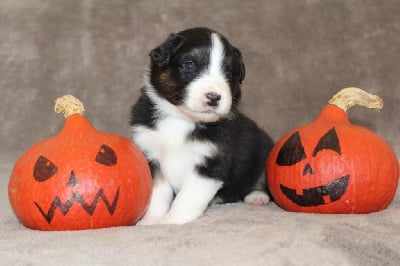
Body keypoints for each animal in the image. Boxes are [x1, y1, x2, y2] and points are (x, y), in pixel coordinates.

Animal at [131, 27, 276, 224]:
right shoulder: (151, 155)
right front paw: (151, 221)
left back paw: (257, 196)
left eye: (229, 72)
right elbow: (157, 195)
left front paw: (170, 222)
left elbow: (186, 199)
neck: (181, 120)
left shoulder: (210, 164)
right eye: (190, 64)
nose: (213, 97)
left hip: (263, 148)